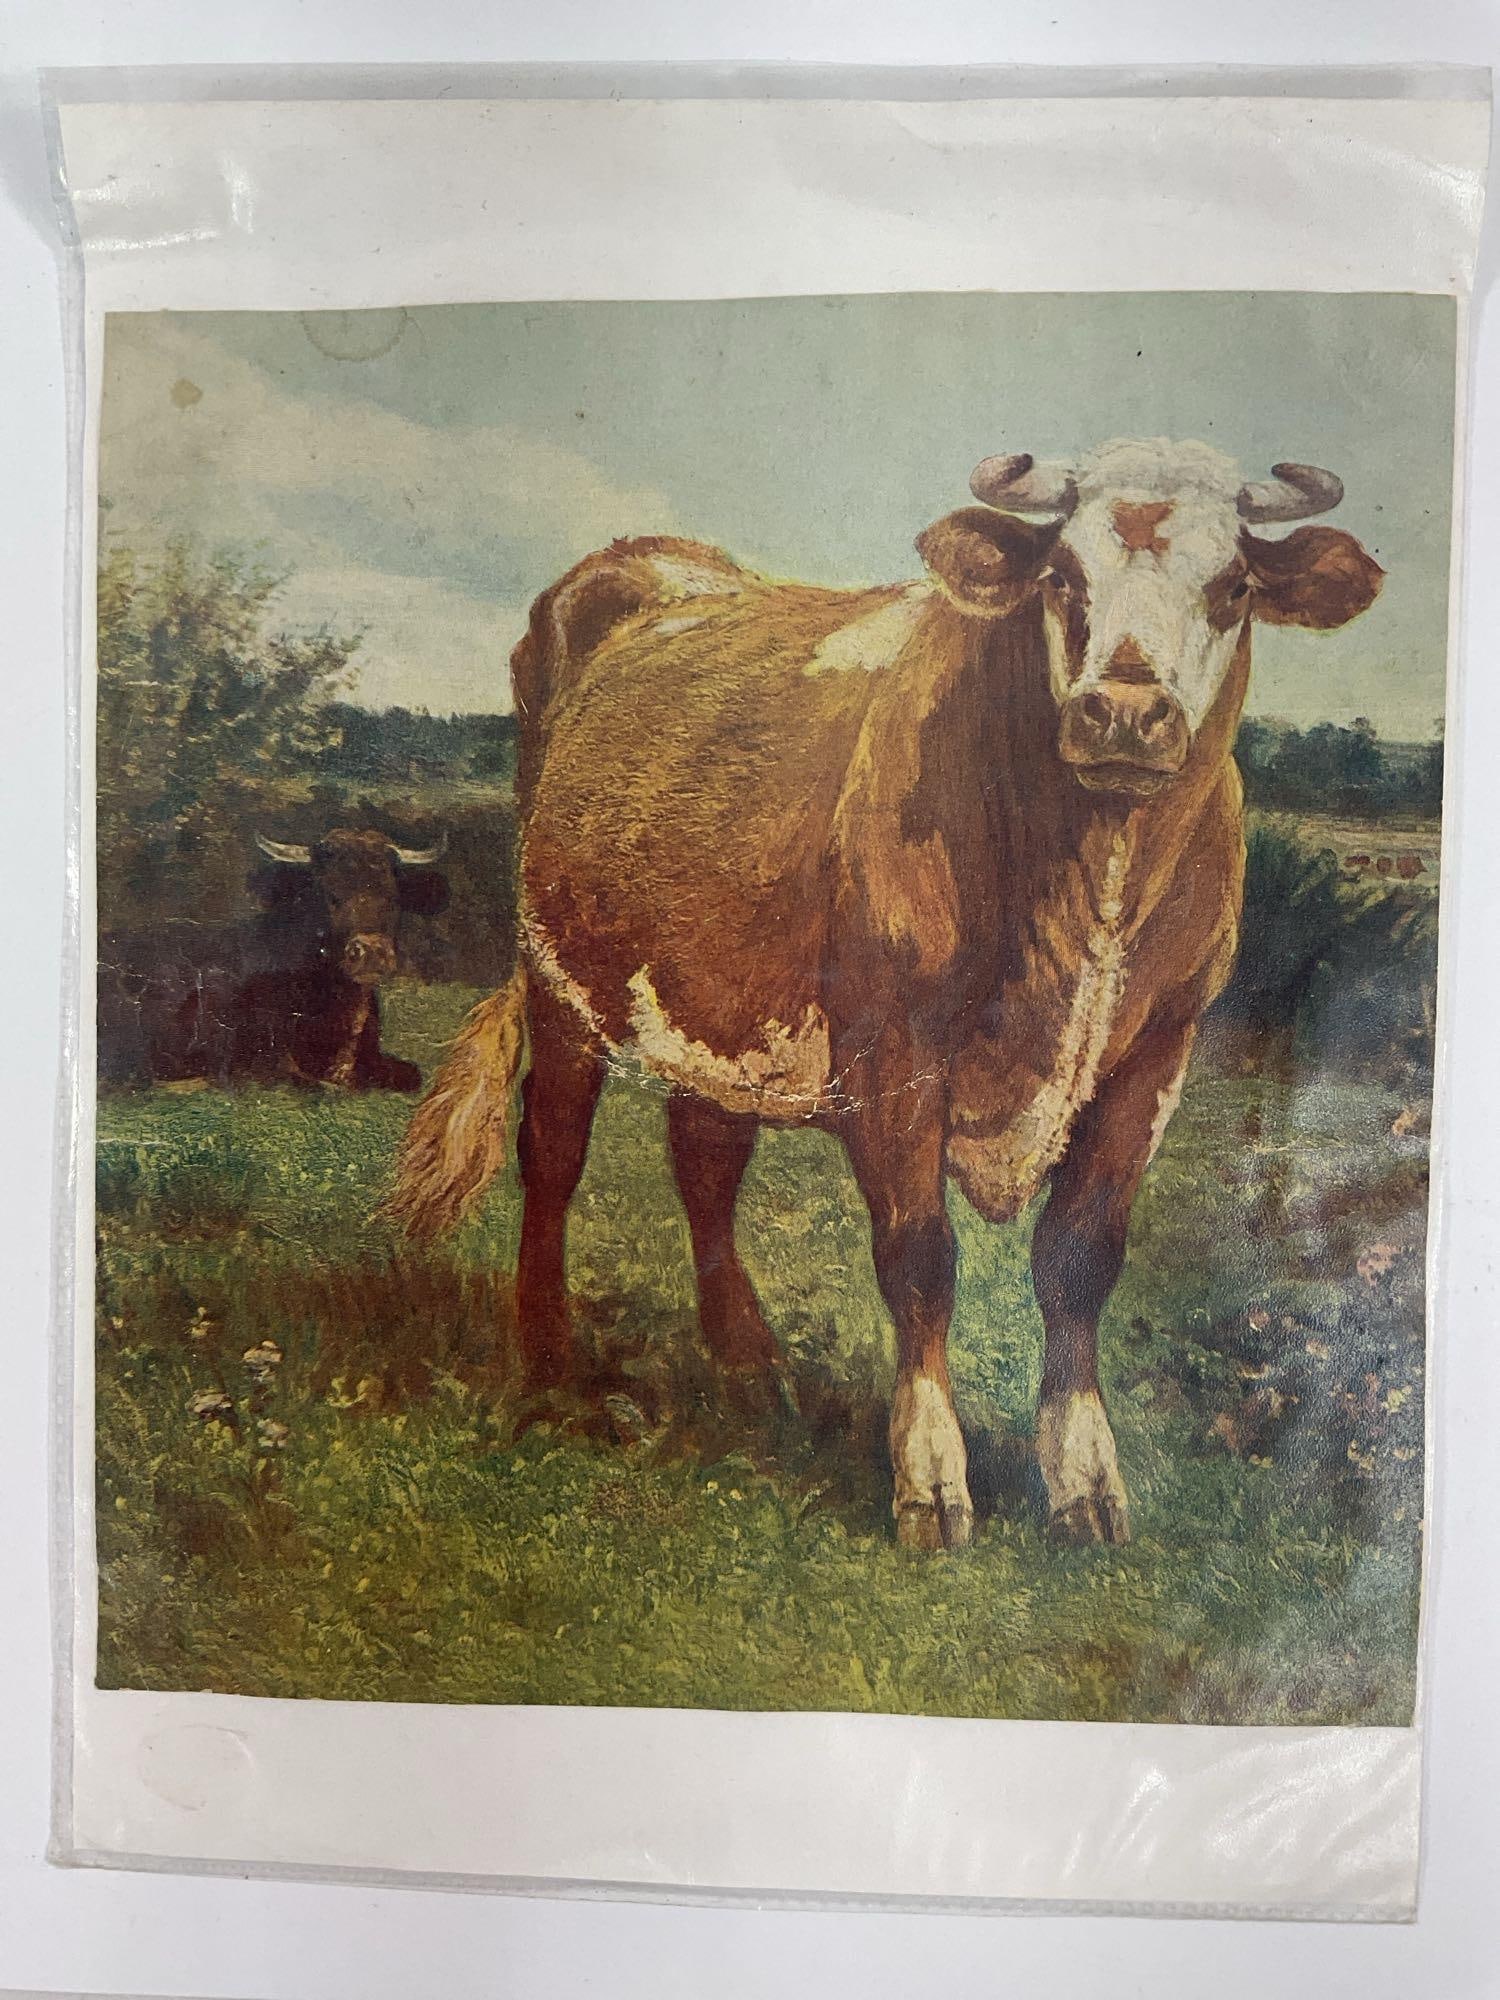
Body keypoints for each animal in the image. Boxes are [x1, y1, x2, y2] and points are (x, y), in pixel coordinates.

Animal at [99, 827, 448, 1091]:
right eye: (329, 894)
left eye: (392, 898)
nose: (372, 954)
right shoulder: (267, 1060)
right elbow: (316, 1083)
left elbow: (412, 1075)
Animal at [389, 437, 1382, 1550]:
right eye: (1061, 577)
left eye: (1235, 584)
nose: (1124, 713)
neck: (1089, 890)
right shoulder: (896, 1049)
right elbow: (919, 1256)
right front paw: (931, 1478)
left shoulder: (1158, 1049)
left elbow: (1081, 1257)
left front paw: (1085, 1480)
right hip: (560, 974)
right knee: (553, 1152)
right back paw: (550, 1352)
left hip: (719, 997)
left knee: (705, 1161)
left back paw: (749, 1365)